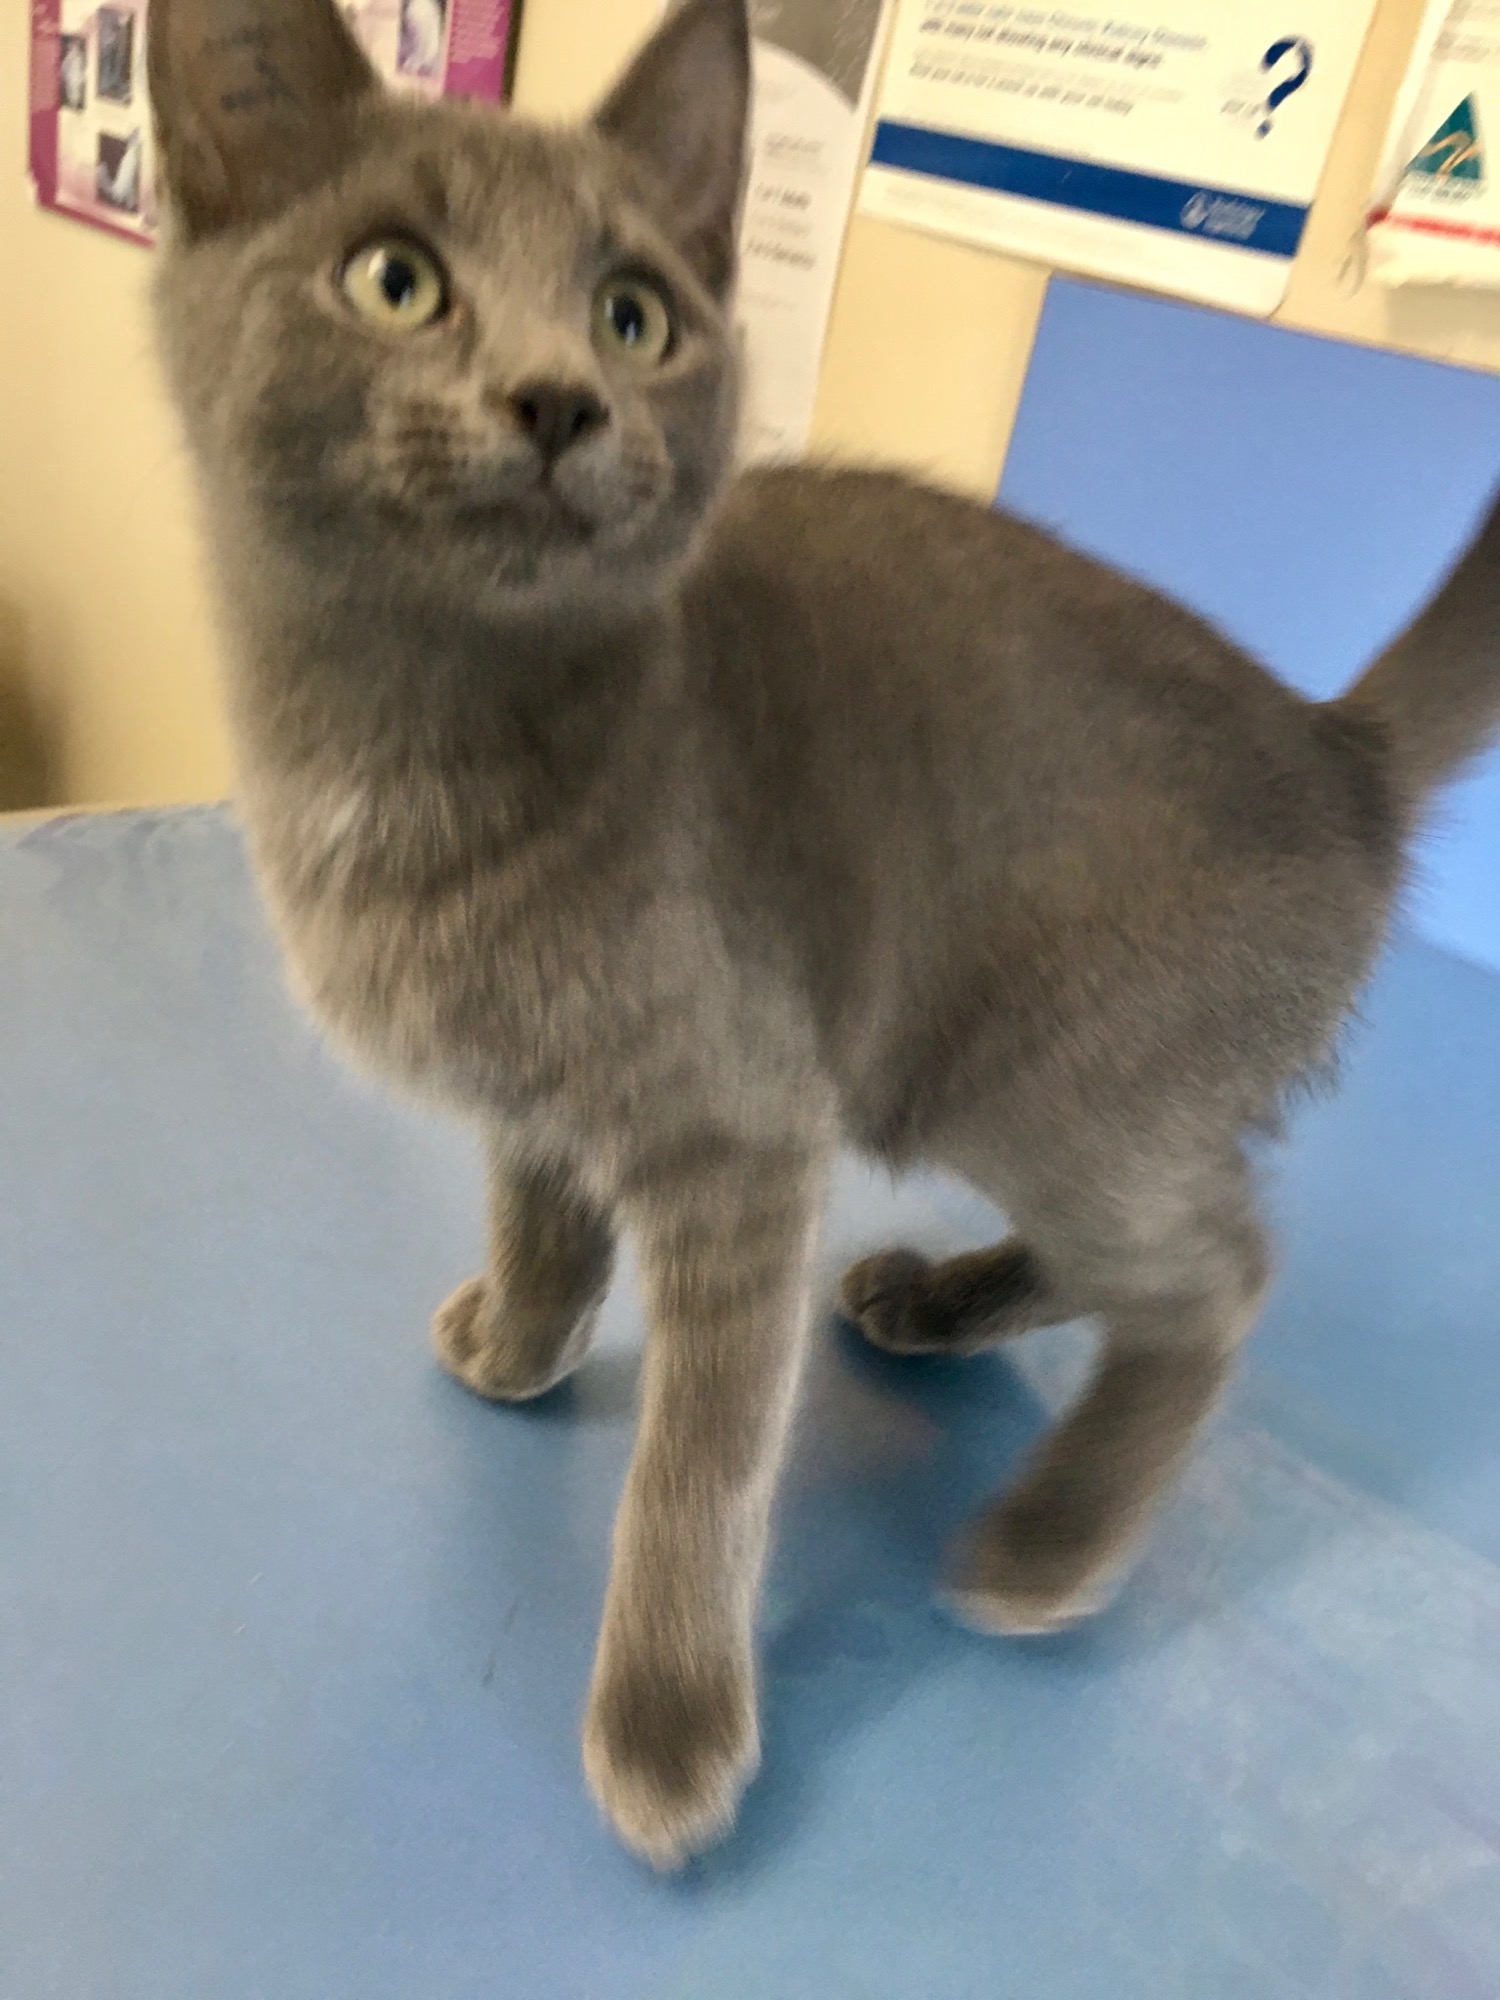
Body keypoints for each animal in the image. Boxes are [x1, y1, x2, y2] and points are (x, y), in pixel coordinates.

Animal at [147, 0, 1500, 1866]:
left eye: (632, 314)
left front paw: (669, 1730)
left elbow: (699, 1463)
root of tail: (1337, 751)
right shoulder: (534, 1084)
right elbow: (541, 1209)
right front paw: (518, 1345)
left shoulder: (742, 1129)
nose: (559, 397)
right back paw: (935, 1301)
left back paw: (1049, 1541)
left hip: (1048, 1066)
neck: (407, 731)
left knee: (1215, 1272)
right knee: (1167, 1232)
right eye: (394, 280)